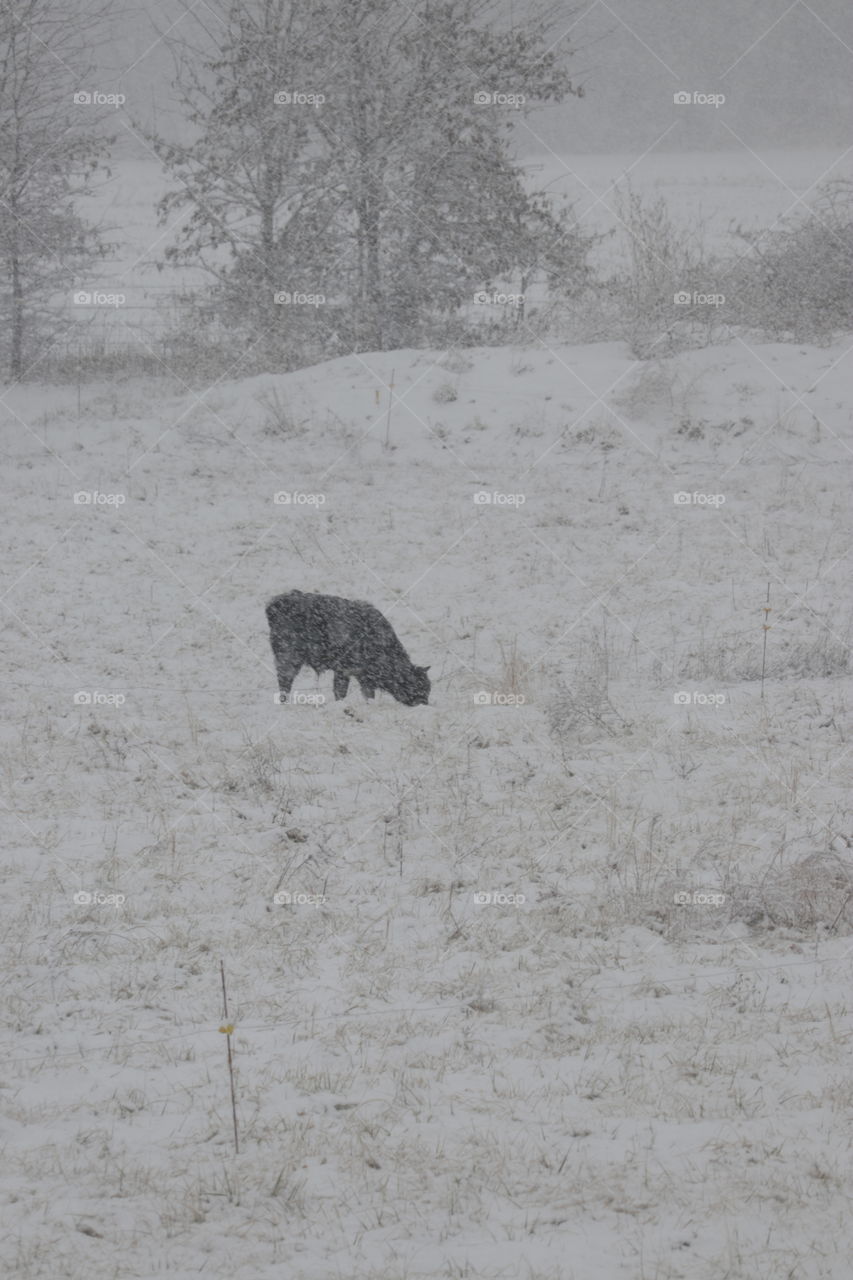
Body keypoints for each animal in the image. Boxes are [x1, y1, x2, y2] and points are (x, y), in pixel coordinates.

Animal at [266, 590, 431, 706]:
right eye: (418, 686)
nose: (424, 704)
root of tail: (276, 603)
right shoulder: (343, 671)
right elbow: (340, 692)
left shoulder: (363, 677)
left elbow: (368, 695)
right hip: (288, 657)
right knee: (284, 682)